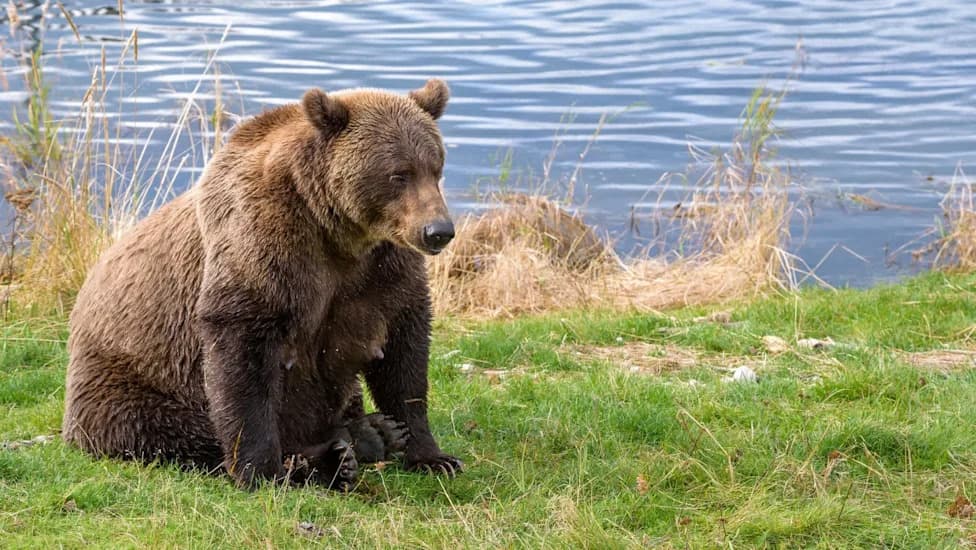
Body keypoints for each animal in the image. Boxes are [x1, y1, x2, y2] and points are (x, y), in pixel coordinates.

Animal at [62, 79, 463, 489]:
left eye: (436, 167)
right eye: (398, 174)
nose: (438, 231)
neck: (339, 233)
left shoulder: (383, 271)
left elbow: (404, 354)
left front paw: (431, 454)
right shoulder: (265, 247)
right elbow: (244, 359)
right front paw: (262, 470)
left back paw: (372, 433)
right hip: (134, 382)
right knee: (173, 431)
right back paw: (335, 457)